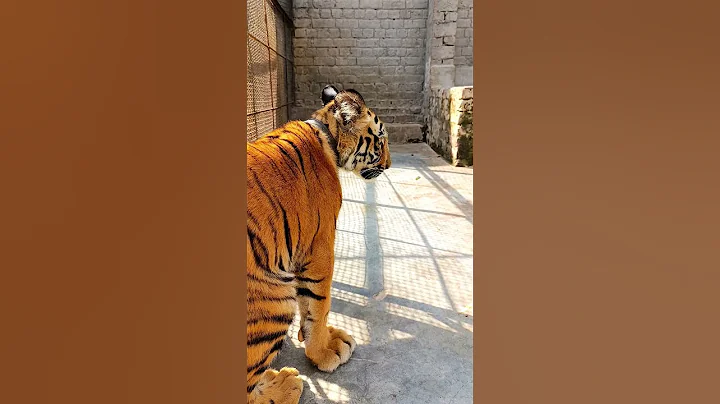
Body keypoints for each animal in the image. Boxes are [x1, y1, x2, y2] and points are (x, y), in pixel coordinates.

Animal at [246, 85, 391, 404]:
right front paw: (324, 351)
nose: (389, 165)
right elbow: (319, 305)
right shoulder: (320, 248)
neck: (327, 136)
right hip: (273, 300)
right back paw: (286, 384)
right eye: (381, 140)